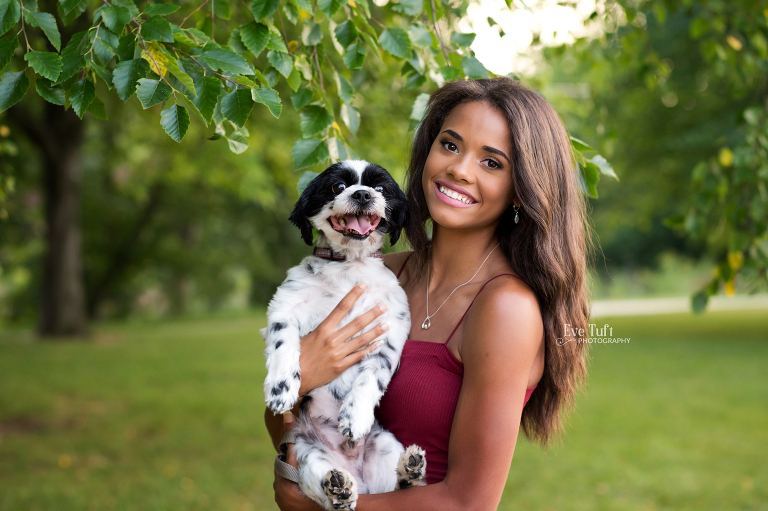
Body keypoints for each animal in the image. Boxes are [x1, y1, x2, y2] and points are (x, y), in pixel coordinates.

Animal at [262, 160, 426, 511]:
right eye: (338, 186)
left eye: (380, 188)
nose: (362, 194)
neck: (348, 266)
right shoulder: (284, 306)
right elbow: (284, 345)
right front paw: (281, 390)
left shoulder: (390, 330)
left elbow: (372, 377)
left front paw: (355, 417)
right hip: (304, 453)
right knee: (327, 488)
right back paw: (339, 488)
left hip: (384, 444)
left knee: (401, 487)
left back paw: (410, 469)